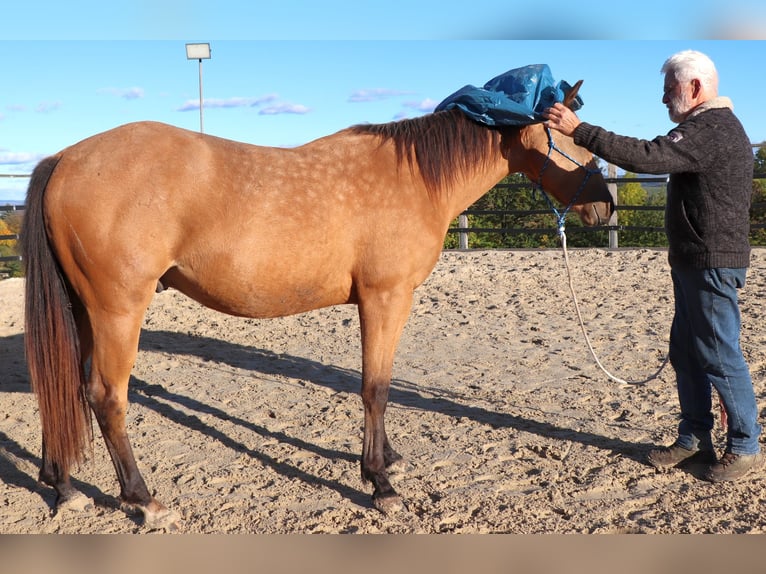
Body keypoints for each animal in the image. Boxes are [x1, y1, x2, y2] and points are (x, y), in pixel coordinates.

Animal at [20, 80, 612, 530]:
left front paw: (388, 462)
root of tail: (64, 158)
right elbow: (375, 387)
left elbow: (381, 385)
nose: (605, 208)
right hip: (118, 311)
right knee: (106, 397)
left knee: (61, 385)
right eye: (572, 135)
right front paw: (379, 483)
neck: (415, 178)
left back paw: (63, 487)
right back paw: (143, 500)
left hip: (81, 310)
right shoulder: (384, 297)